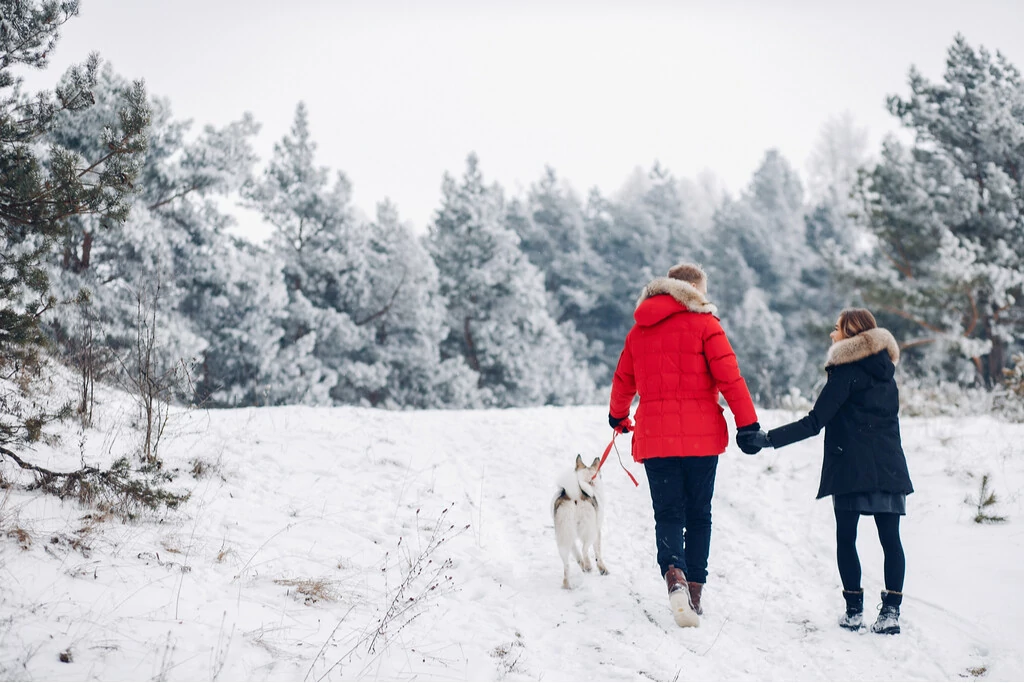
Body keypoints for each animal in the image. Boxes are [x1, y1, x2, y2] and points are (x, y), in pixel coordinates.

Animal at [552, 454, 606, 589]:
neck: (588, 481)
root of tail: (575, 495)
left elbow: (576, 554)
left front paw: (583, 566)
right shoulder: (597, 531)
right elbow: (598, 553)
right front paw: (602, 569)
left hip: (564, 535)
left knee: (567, 565)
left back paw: (567, 585)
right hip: (589, 531)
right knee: (585, 549)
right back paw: (588, 565)